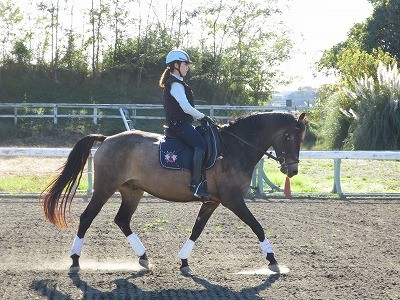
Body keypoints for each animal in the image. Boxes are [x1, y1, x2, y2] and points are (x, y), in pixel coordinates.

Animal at [42, 111, 306, 274]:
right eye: (290, 137)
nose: (292, 170)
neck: (234, 148)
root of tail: (107, 139)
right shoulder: (233, 200)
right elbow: (257, 226)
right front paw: (272, 260)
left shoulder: (212, 201)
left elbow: (197, 229)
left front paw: (184, 260)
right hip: (105, 188)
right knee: (87, 218)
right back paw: (75, 260)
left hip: (132, 191)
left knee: (122, 220)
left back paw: (143, 257)